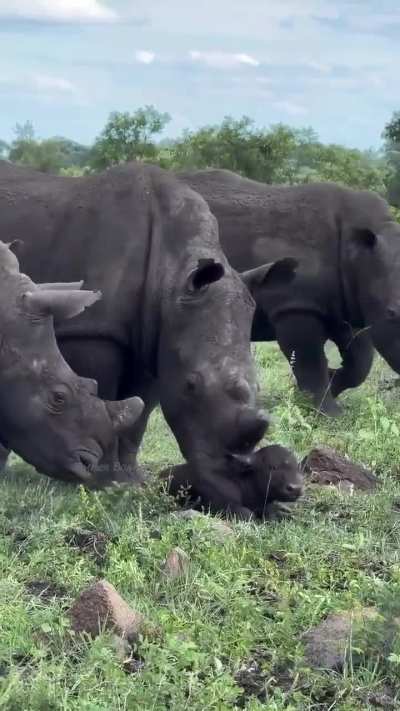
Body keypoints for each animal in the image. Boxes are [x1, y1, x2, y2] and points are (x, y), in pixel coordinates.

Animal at [179, 169, 400, 415]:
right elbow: (309, 362)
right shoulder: (295, 304)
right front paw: (327, 413)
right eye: (391, 313)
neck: (357, 256)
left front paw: (327, 386)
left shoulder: (346, 304)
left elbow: (359, 362)